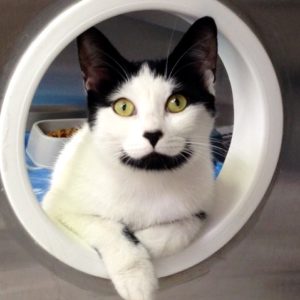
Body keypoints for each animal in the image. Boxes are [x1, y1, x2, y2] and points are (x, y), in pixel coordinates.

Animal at [41, 15, 217, 300]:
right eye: (123, 107)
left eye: (177, 102)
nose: (153, 134)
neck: (148, 178)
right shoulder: (58, 207)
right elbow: (106, 225)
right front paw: (136, 277)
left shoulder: (203, 201)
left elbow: (184, 225)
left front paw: (145, 243)